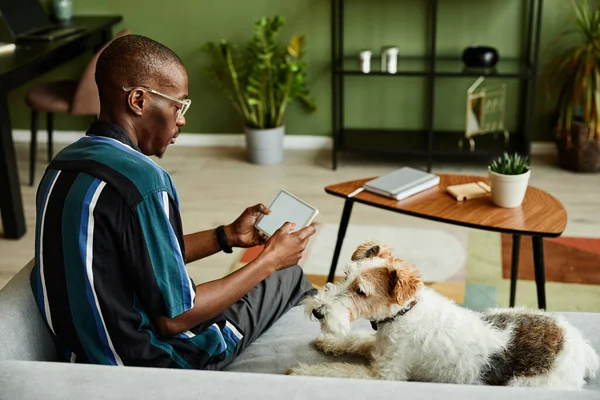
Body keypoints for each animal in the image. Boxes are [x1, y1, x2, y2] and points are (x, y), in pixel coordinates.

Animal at [288, 242, 600, 390]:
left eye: (361, 291)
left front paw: (301, 371)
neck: (404, 313)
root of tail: (581, 347)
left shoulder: (385, 374)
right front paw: (327, 343)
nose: (317, 311)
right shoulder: (379, 347)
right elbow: (357, 341)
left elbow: (338, 370)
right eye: (346, 274)